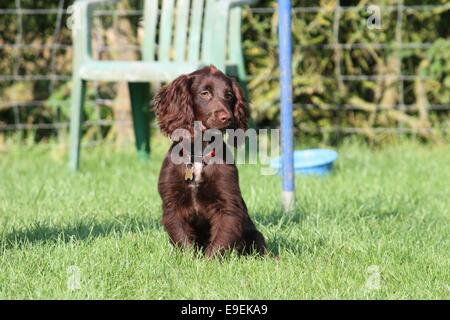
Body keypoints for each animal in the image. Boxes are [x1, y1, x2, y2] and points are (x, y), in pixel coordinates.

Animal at [155, 65, 268, 258]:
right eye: (205, 93)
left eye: (229, 95)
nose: (227, 117)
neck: (199, 155)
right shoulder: (172, 204)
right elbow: (182, 240)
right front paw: (188, 260)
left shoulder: (228, 205)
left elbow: (220, 240)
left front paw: (208, 262)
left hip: (255, 235)